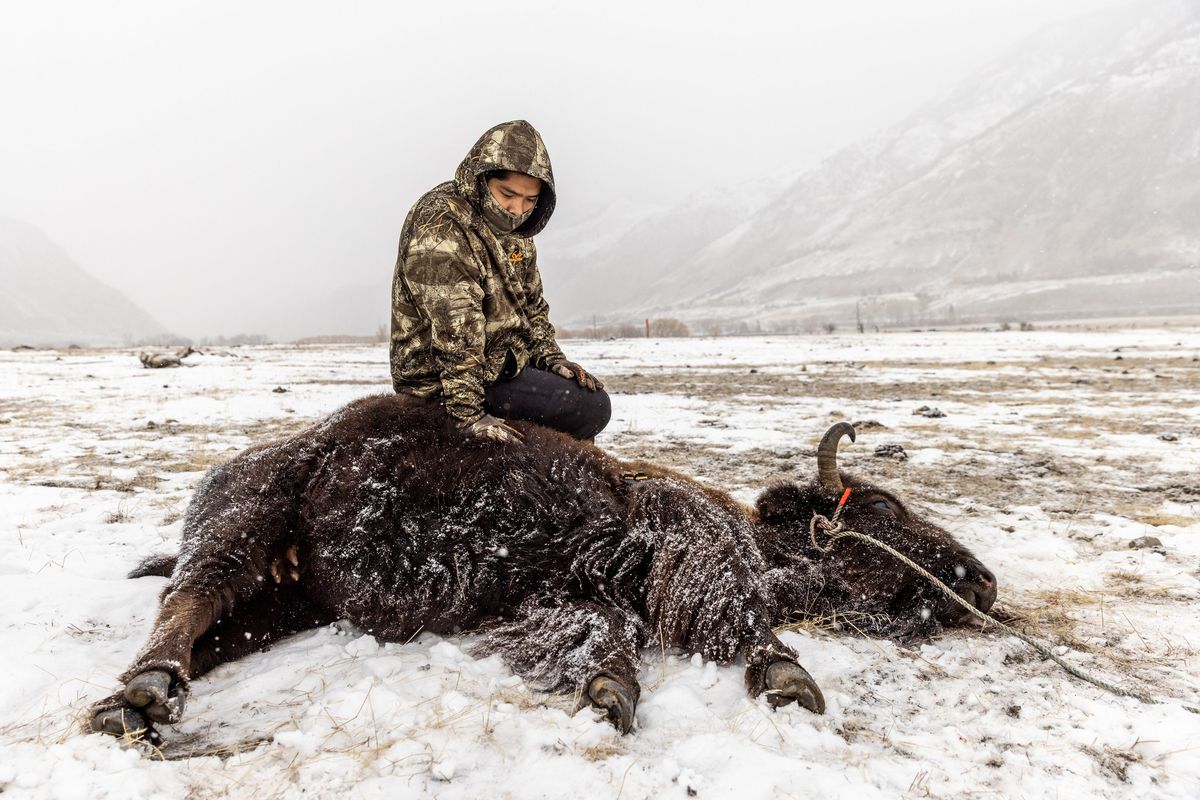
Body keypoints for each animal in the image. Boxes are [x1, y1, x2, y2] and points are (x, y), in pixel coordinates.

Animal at [88, 398, 998, 743]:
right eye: (878, 508)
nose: (982, 581)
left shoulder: (551, 599)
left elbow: (596, 628)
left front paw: (608, 688)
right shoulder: (690, 553)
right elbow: (734, 618)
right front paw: (785, 677)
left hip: (289, 603)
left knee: (213, 632)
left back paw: (149, 698)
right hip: (244, 525)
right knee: (185, 601)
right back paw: (138, 699)